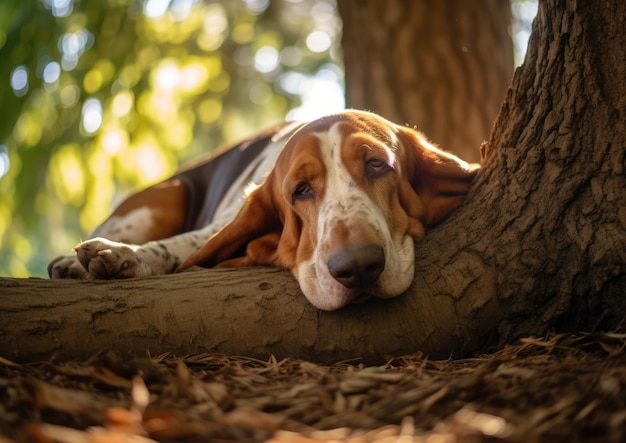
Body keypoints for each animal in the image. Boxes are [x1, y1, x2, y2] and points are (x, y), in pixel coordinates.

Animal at [50, 110, 478, 310]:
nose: (357, 266)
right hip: (164, 200)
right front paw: (123, 257)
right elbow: (180, 247)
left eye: (377, 165)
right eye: (300, 189)